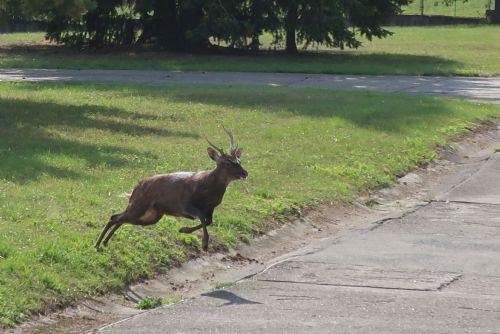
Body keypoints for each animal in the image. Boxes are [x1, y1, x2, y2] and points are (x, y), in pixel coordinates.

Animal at [94, 128, 247, 253]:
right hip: (140, 204)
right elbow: (203, 219)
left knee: (120, 219)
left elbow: (208, 221)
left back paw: (105, 243)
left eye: (239, 161)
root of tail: (136, 187)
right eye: (227, 163)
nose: (245, 173)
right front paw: (203, 243)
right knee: (114, 217)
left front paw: (184, 230)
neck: (206, 191)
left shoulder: (210, 208)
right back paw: (97, 244)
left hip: (151, 215)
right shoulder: (184, 205)